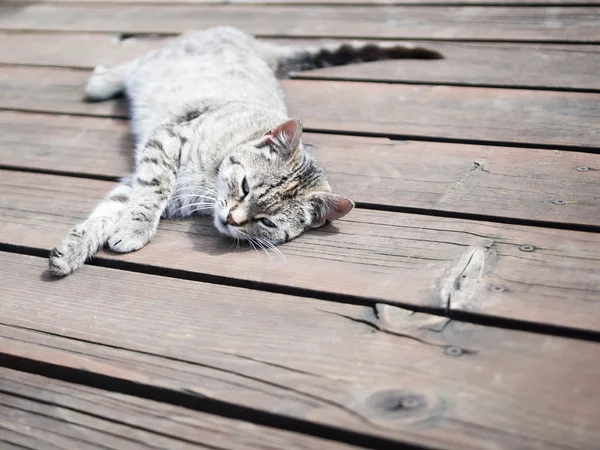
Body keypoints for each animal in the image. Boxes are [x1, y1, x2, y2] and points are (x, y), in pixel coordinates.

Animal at [49, 27, 442, 278]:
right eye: (245, 187)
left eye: (266, 221)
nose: (233, 219)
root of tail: (253, 43)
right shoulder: (165, 142)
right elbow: (145, 197)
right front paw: (129, 229)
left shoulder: (151, 177)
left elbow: (113, 208)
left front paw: (79, 246)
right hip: (160, 63)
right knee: (134, 63)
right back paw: (101, 83)